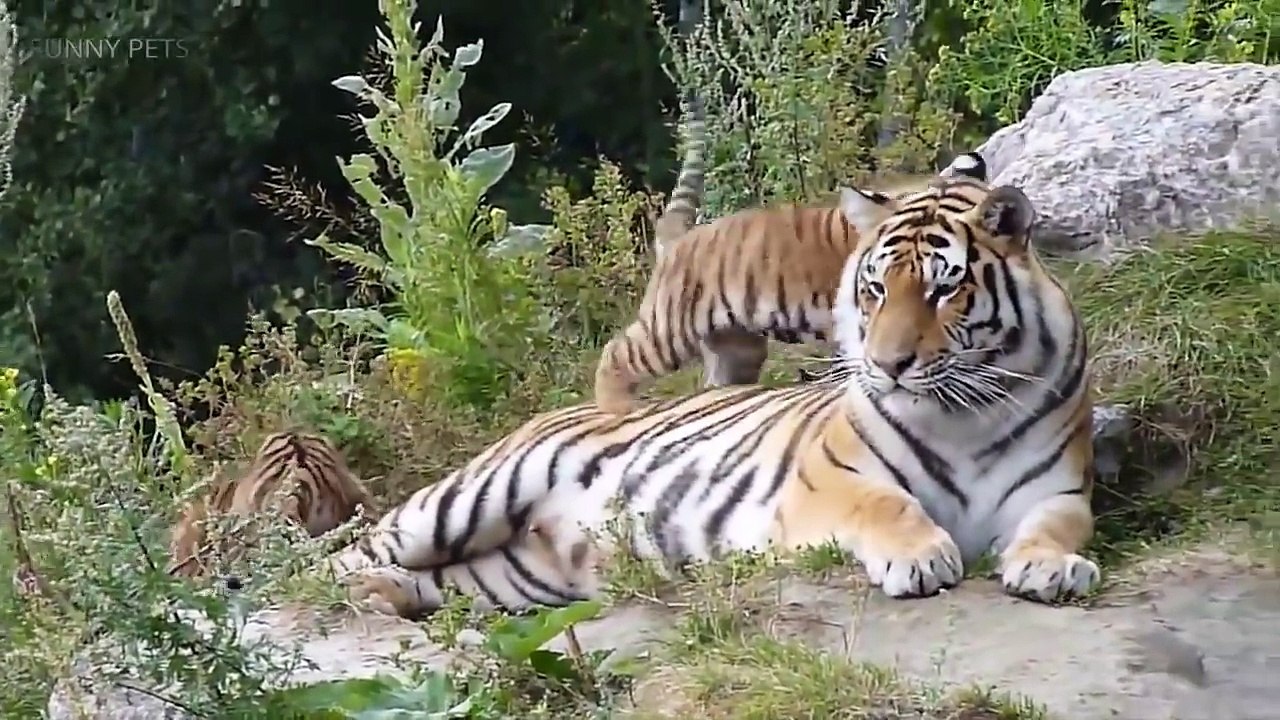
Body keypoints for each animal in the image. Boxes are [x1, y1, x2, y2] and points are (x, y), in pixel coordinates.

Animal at [323, 170, 1100, 618]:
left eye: (943, 290)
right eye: (876, 288)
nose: (887, 365)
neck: (964, 413)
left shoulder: (1059, 489)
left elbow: (1057, 525)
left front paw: (1050, 566)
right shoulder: (827, 481)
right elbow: (886, 503)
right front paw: (921, 557)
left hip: (519, 573)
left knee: (447, 582)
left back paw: (389, 596)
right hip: (467, 498)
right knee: (345, 551)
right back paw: (345, 589)